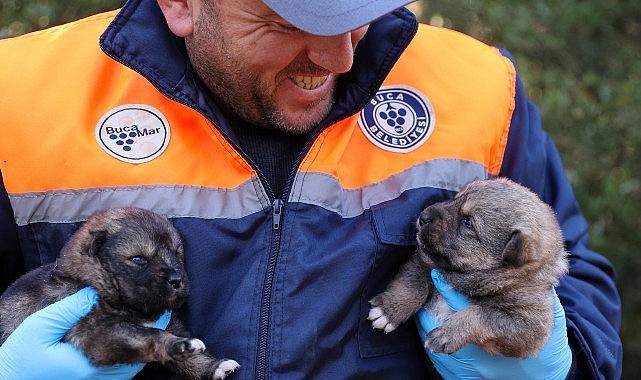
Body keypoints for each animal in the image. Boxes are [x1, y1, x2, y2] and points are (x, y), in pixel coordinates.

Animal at [0, 208, 239, 380]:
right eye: (138, 259)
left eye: (177, 253)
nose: (176, 280)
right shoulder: (97, 331)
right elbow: (150, 335)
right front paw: (180, 345)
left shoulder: (170, 323)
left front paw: (214, 366)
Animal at [368, 178, 568, 356]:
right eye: (456, 198)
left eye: (468, 222)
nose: (423, 216)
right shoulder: (423, 260)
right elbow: (413, 286)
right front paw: (390, 310)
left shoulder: (528, 326)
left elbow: (479, 314)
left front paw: (447, 334)